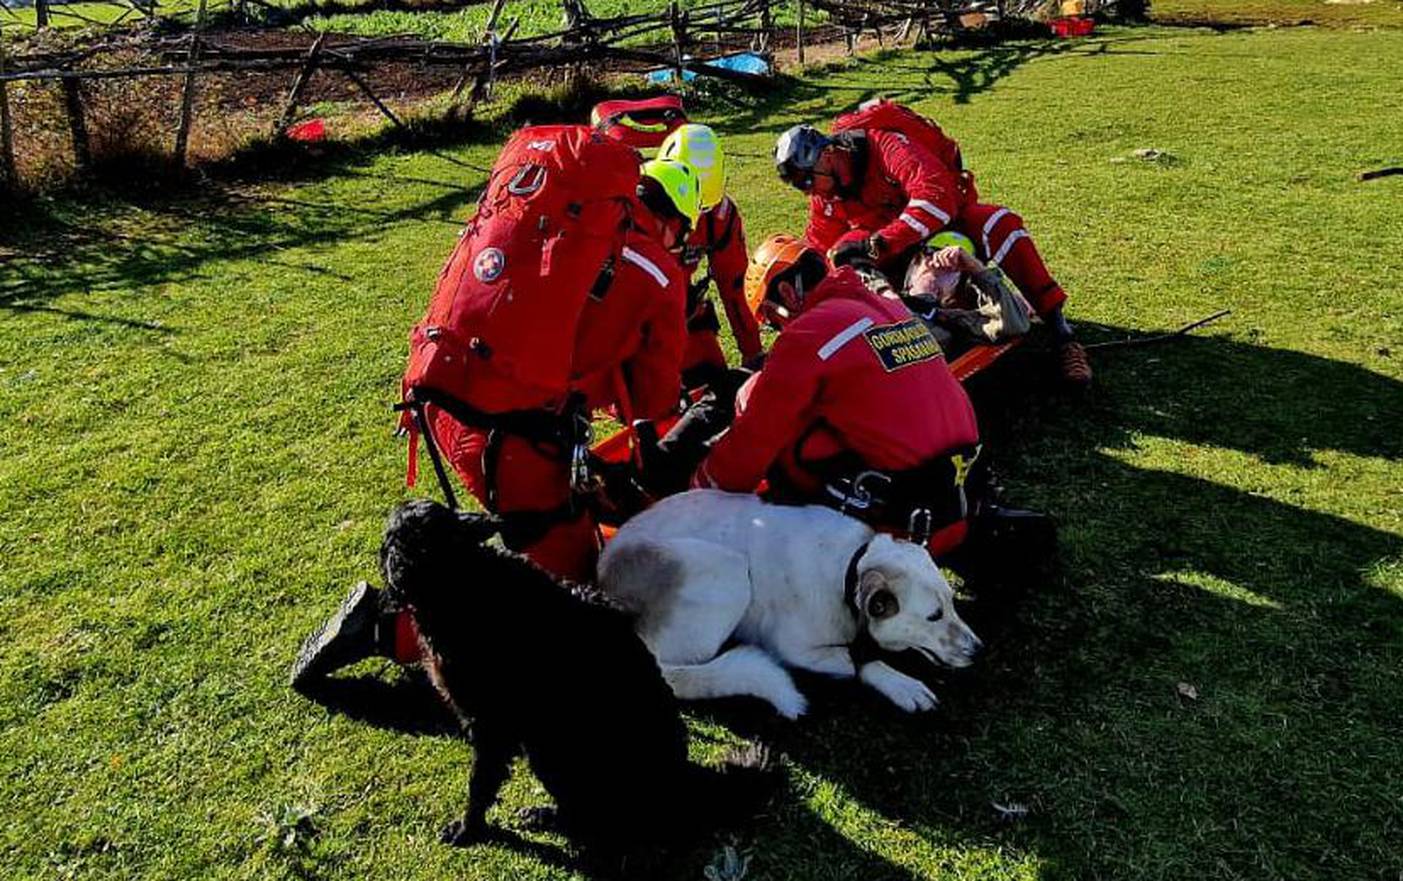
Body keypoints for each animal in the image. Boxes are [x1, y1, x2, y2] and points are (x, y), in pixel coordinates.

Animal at [384, 502, 774, 858]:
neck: (462, 579)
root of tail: (683, 785)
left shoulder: (491, 725)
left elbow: (480, 784)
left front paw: (468, 829)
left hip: (552, 751)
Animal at [597, 488, 982, 715]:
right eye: (934, 616)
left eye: (952, 604)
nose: (978, 650)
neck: (849, 570)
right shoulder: (795, 649)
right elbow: (858, 660)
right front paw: (901, 683)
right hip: (727, 569)